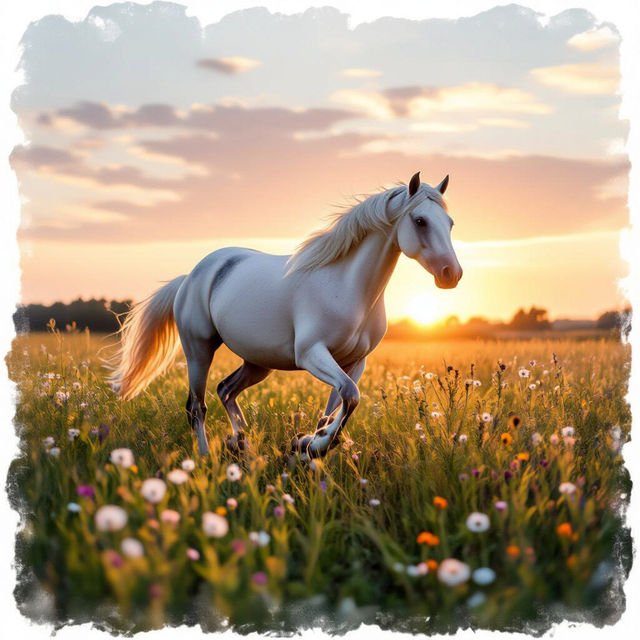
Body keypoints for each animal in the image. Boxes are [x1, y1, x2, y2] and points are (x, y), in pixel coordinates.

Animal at [108, 172, 462, 460]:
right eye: (420, 221)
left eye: (450, 223)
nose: (451, 274)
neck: (347, 286)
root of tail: (190, 277)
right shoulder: (311, 354)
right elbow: (351, 395)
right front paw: (314, 445)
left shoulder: (354, 362)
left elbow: (338, 406)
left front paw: (309, 445)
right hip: (199, 350)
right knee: (198, 406)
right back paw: (208, 455)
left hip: (258, 363)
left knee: (226, 390)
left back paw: (242, 442)